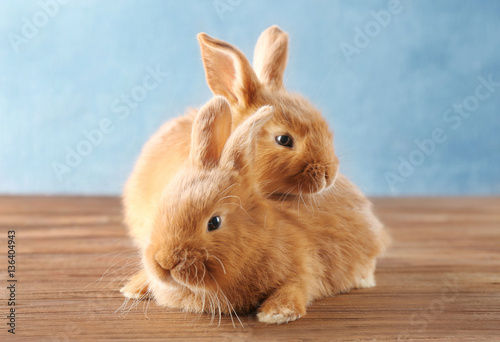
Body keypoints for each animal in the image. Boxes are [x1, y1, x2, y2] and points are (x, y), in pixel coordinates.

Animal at [119, 97, 388, 324]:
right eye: (161, 209)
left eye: (214, 222)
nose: (165, 262)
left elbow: (297, 287)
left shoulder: (304, 268)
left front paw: (276, 314)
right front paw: (134, 288)